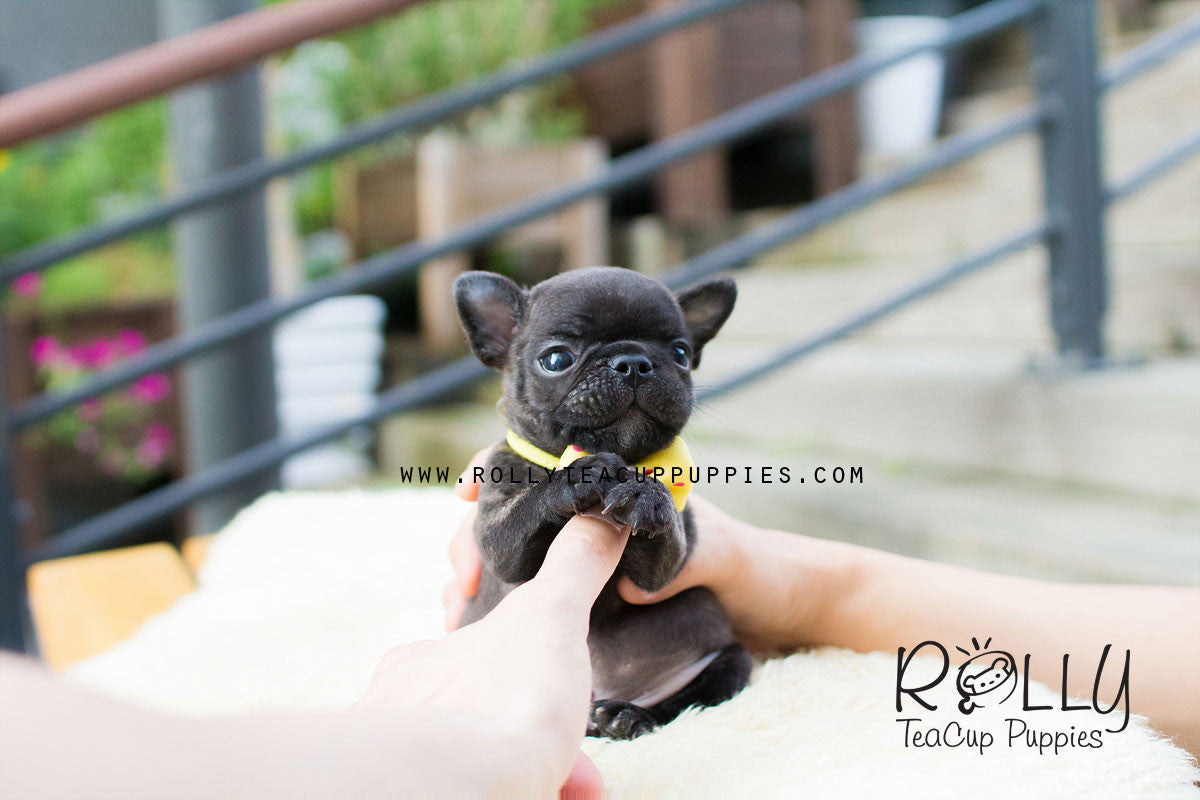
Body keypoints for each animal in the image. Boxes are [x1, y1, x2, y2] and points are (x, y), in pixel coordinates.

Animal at [456, 267, 748, 738]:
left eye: (681, 354)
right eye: (556, 360)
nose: (633, 362)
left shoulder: (667, 565)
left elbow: (664, 551)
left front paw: (644, 491)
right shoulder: (498, 535)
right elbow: (524, 511)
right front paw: (583, 475)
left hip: (729, 658)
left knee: (687, 701)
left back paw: (626, 715)